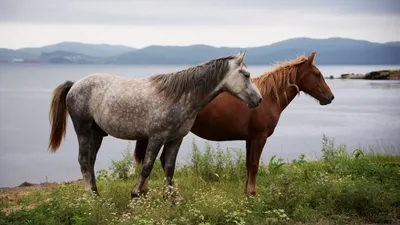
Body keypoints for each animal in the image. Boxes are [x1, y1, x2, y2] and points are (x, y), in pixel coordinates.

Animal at [47, 51, 262, 200]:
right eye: (246, 74)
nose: (259, 99)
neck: (178, 97)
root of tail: (75, 84)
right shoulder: (156, 138)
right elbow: (147, 166)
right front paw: (136, 194)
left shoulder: (176, 139)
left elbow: (169, 167)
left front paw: (172, 198)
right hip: (83, 129)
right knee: (84, 160)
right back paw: (92, 198)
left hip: (97, 133)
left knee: (90, 161)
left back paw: (96, 194)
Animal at [134, 51, 334, 196]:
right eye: (317, 74)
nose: (330, 97)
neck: (268, 98)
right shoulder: (259, 137)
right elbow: (254, 165)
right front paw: (253, 194)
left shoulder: (250, 139)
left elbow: (248, 165)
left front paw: (246, 193)